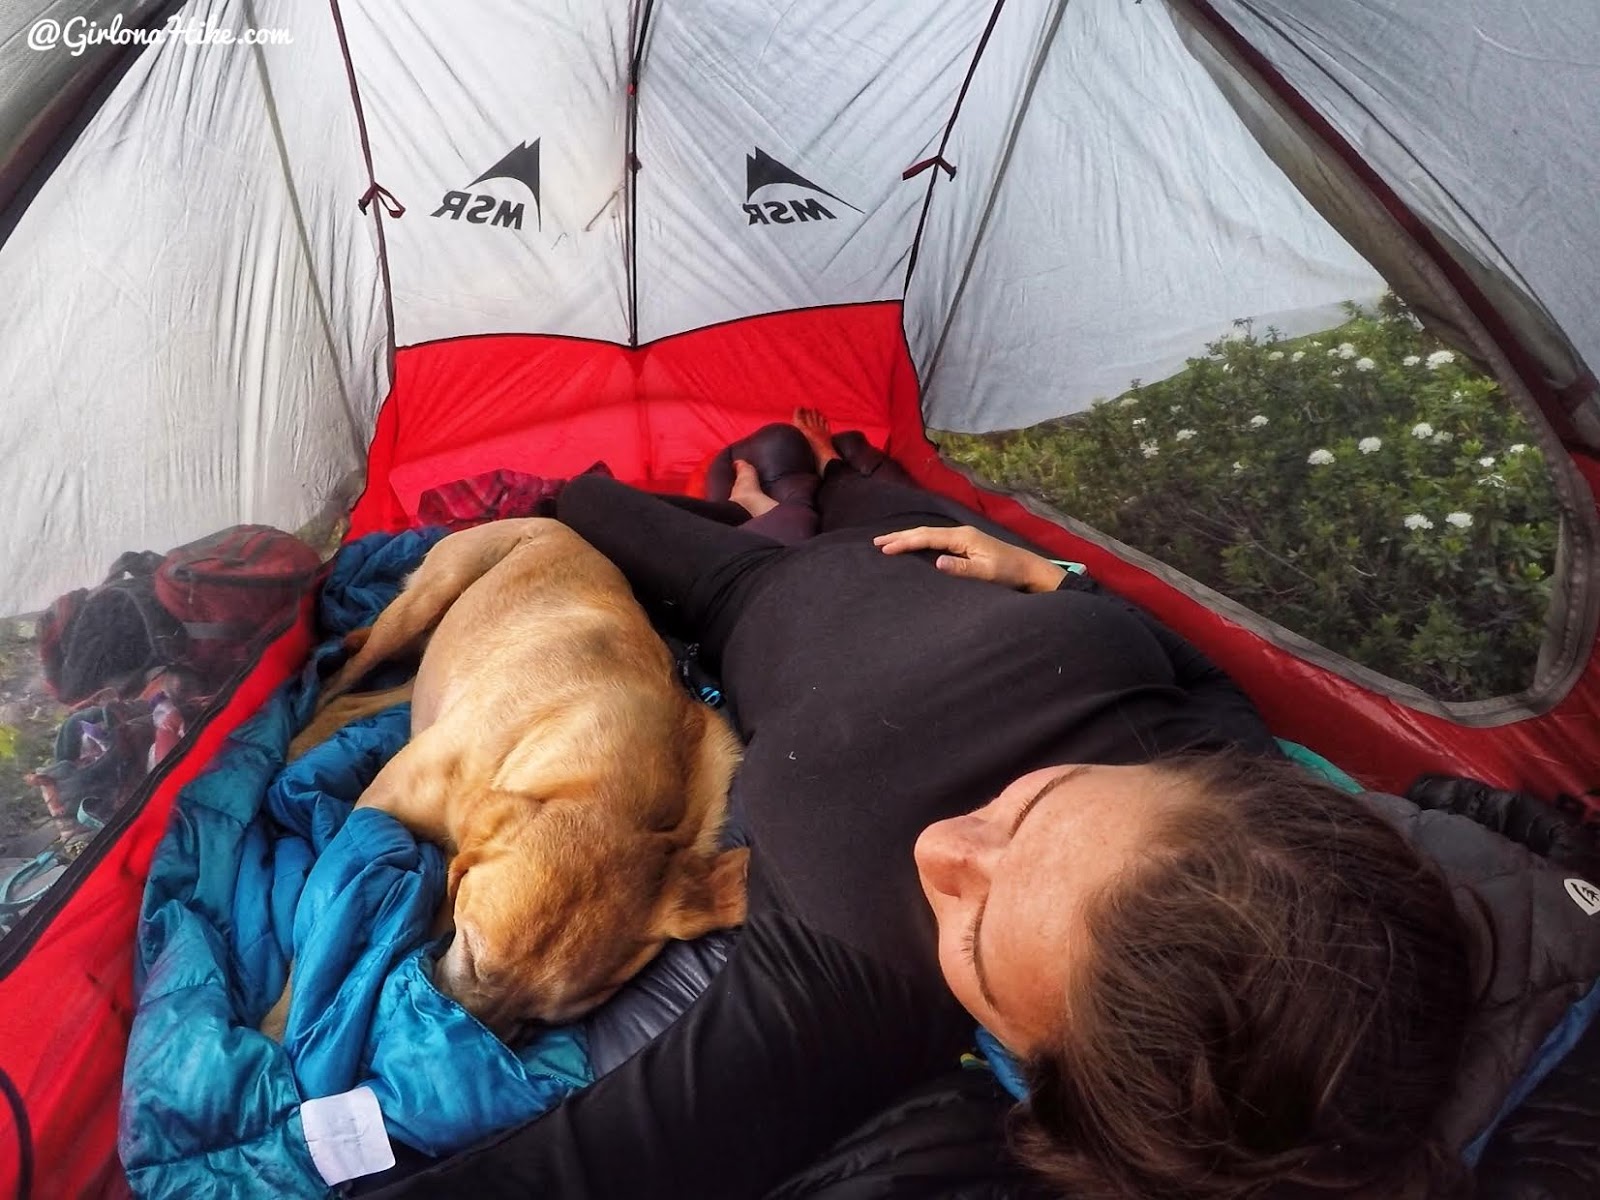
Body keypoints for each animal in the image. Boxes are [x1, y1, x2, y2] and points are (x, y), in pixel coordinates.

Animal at [270, 518, 748, 1043]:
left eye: (542, 1020)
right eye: (474, 959)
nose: (452, 1041)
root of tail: (553, 522)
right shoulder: (378, 804)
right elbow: (322, 923)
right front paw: (280, 1025)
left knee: (360, 701)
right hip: (425, 600)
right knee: (338, 682)